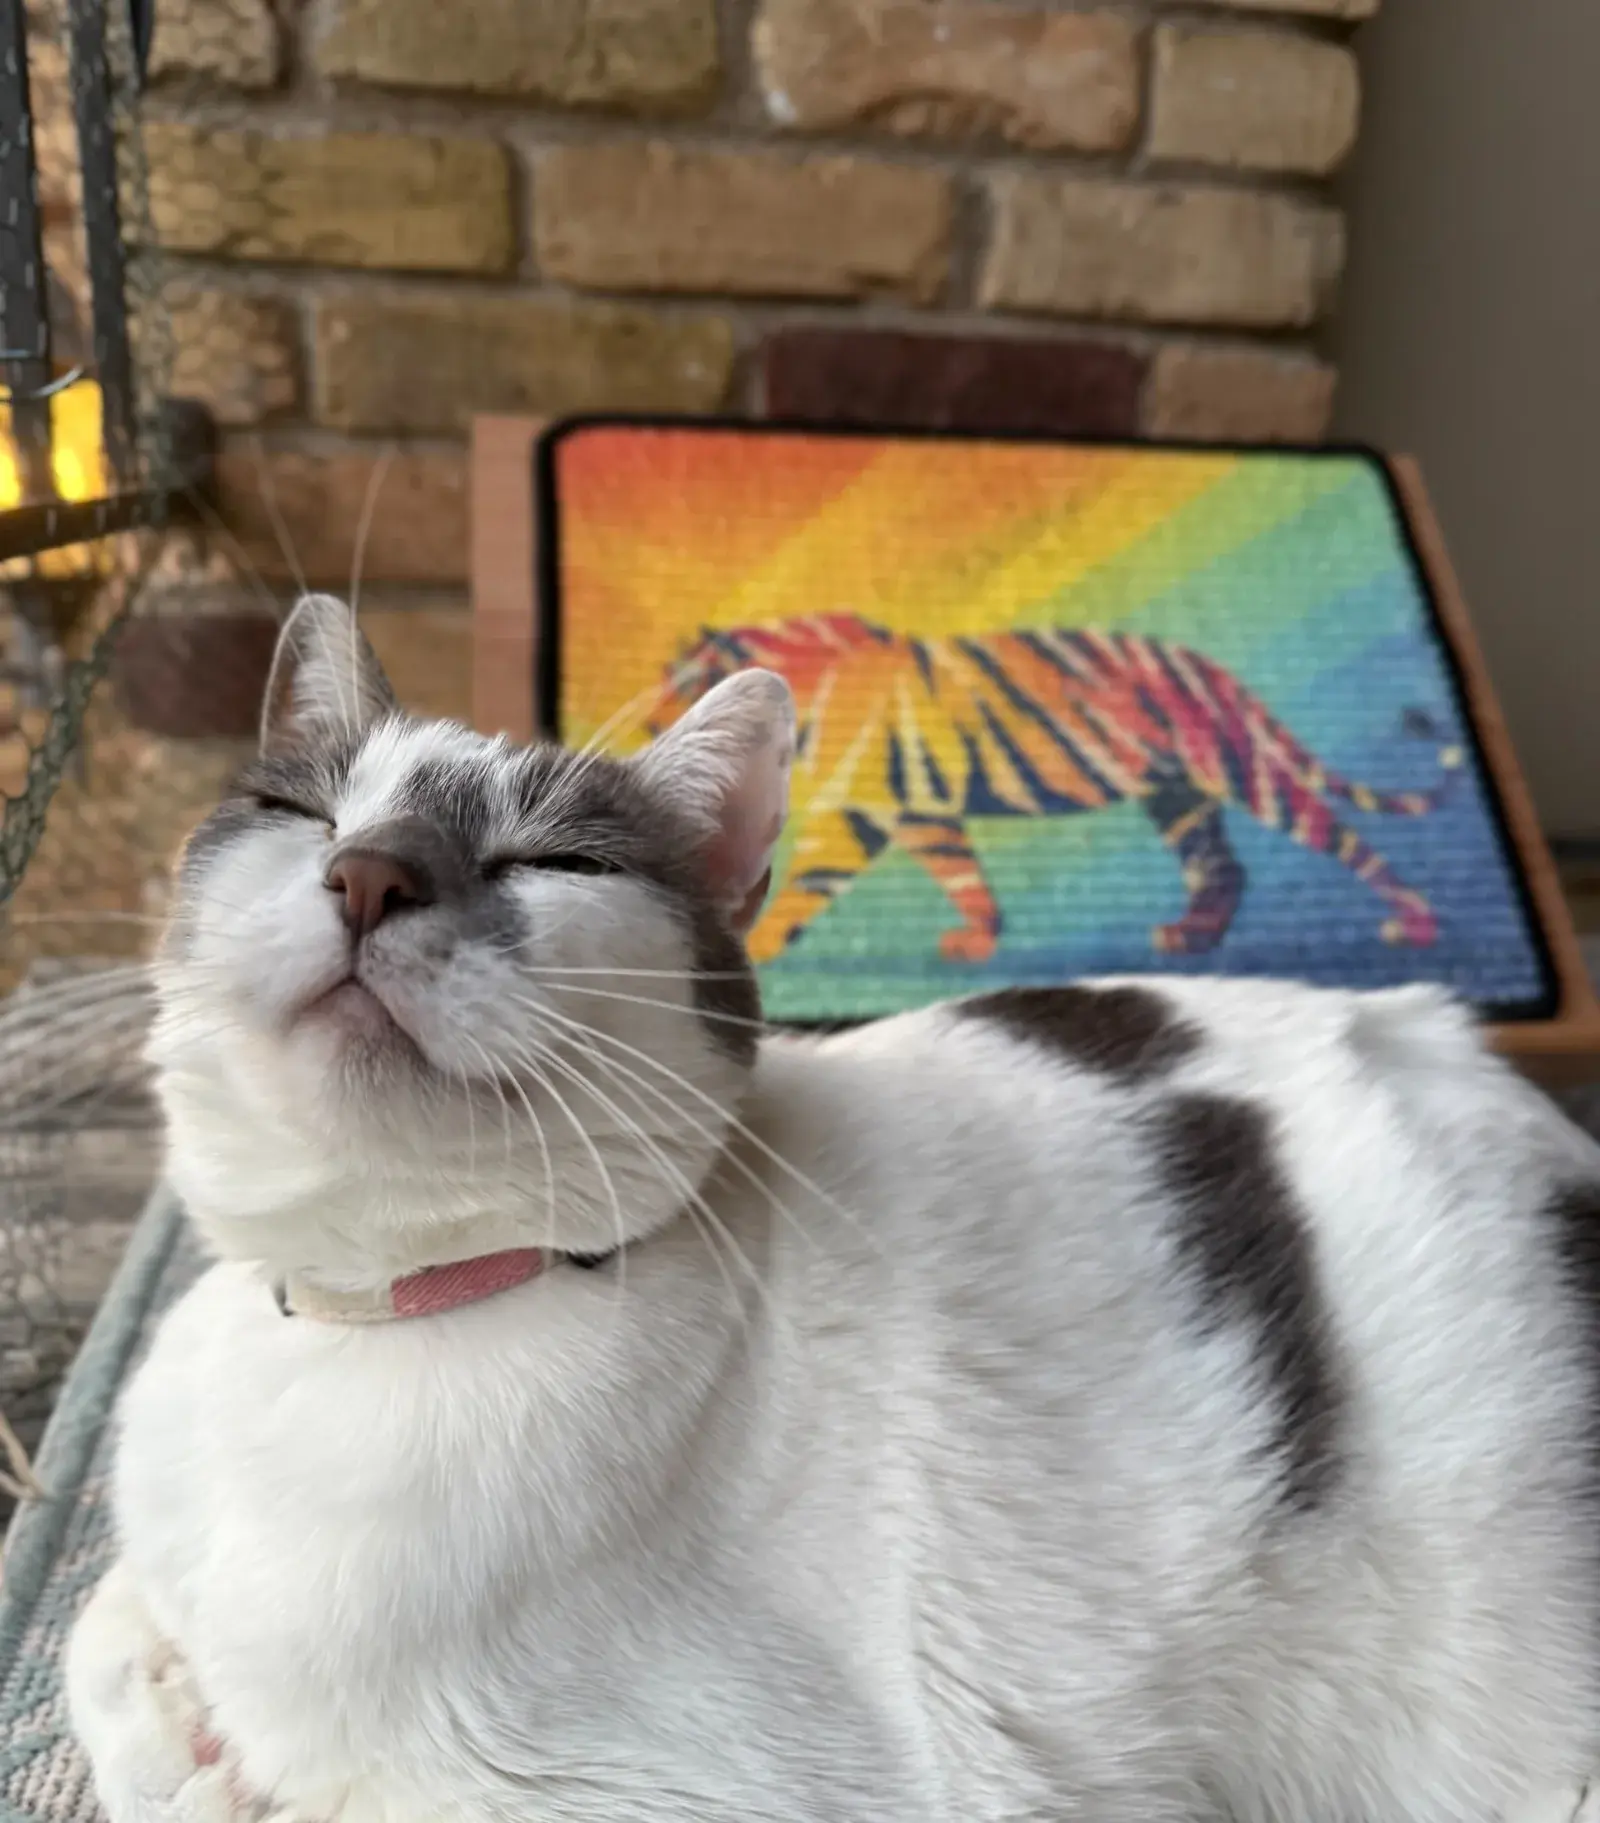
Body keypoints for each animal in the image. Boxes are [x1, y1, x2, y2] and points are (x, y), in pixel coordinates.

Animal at [644, 613, 1463, 968]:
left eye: (675, 683)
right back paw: (1191, 936)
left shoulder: (886, 809)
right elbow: (921, 878)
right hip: (1175, 794)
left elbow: (836, 882)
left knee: (1338, 836)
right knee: (1223, 865)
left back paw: (1416, 922)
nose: (649, 721)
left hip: (1238, 769)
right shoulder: (894, 813)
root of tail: (1208, 666)